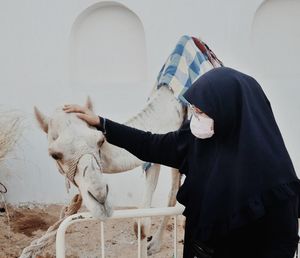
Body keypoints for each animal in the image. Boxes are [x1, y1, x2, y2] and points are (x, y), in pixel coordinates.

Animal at [34, 84, 185, 256]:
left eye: (100, 140)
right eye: (54, 155)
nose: (101, 199)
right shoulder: (158, 150)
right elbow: (142, 223)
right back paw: (155, 244)